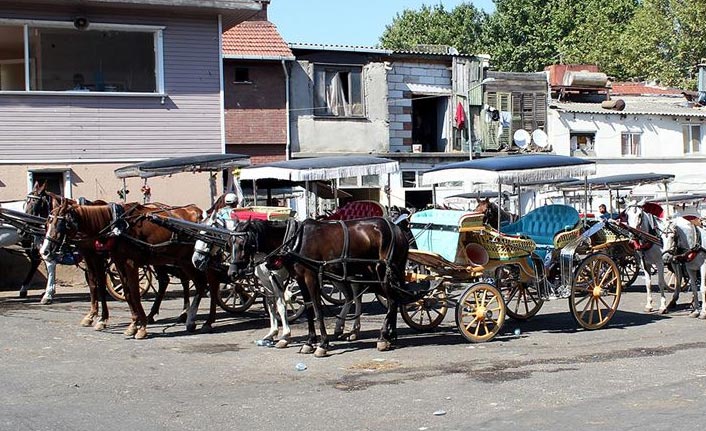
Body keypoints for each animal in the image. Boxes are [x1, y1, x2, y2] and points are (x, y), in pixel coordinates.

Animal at [40, 201, 206, 340]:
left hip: (187, 261)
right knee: (188, 283)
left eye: (61, 223)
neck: (116, 227)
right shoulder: (115, 262)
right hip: (176, 260)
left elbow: (132, 293)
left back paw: (190, 318)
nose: (45, 251)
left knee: (199, 283)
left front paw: (141, 327)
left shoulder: (126, 262)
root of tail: (197, 211)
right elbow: (124, 292)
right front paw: (133, 324)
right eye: (48, 223)